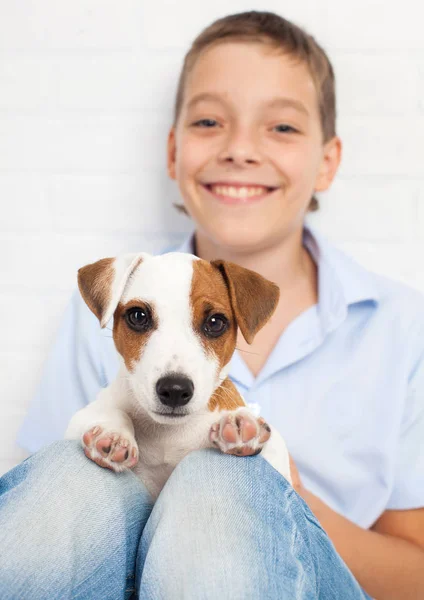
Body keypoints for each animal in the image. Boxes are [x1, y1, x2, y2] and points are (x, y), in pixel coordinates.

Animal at [65, 251, 292, 500]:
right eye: (138, 316)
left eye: (215, 322)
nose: (174, 390)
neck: (169, 434)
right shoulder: (81, 418)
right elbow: (110, 412)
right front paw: (112, 433)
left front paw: (242, 424)